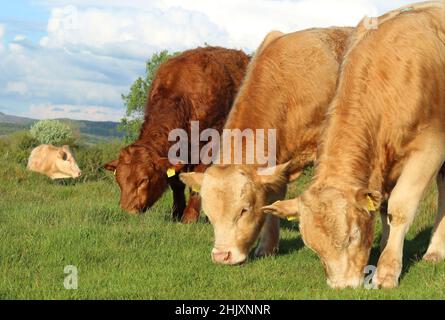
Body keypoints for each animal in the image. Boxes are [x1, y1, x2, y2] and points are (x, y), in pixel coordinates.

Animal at [104, 47, 250, 222]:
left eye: (144, 180)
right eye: (118, 179)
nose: (127, 211)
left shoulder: (209, 145)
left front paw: (189, 217)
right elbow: (176, 183)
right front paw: (177, 213)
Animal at [262, 1, 444, 288]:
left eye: (352, 236)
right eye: (314, 249)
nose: (343, 287)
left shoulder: (430, 149)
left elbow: (399, 209)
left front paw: (387, 271)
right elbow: (383, 208)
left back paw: (435, 251)